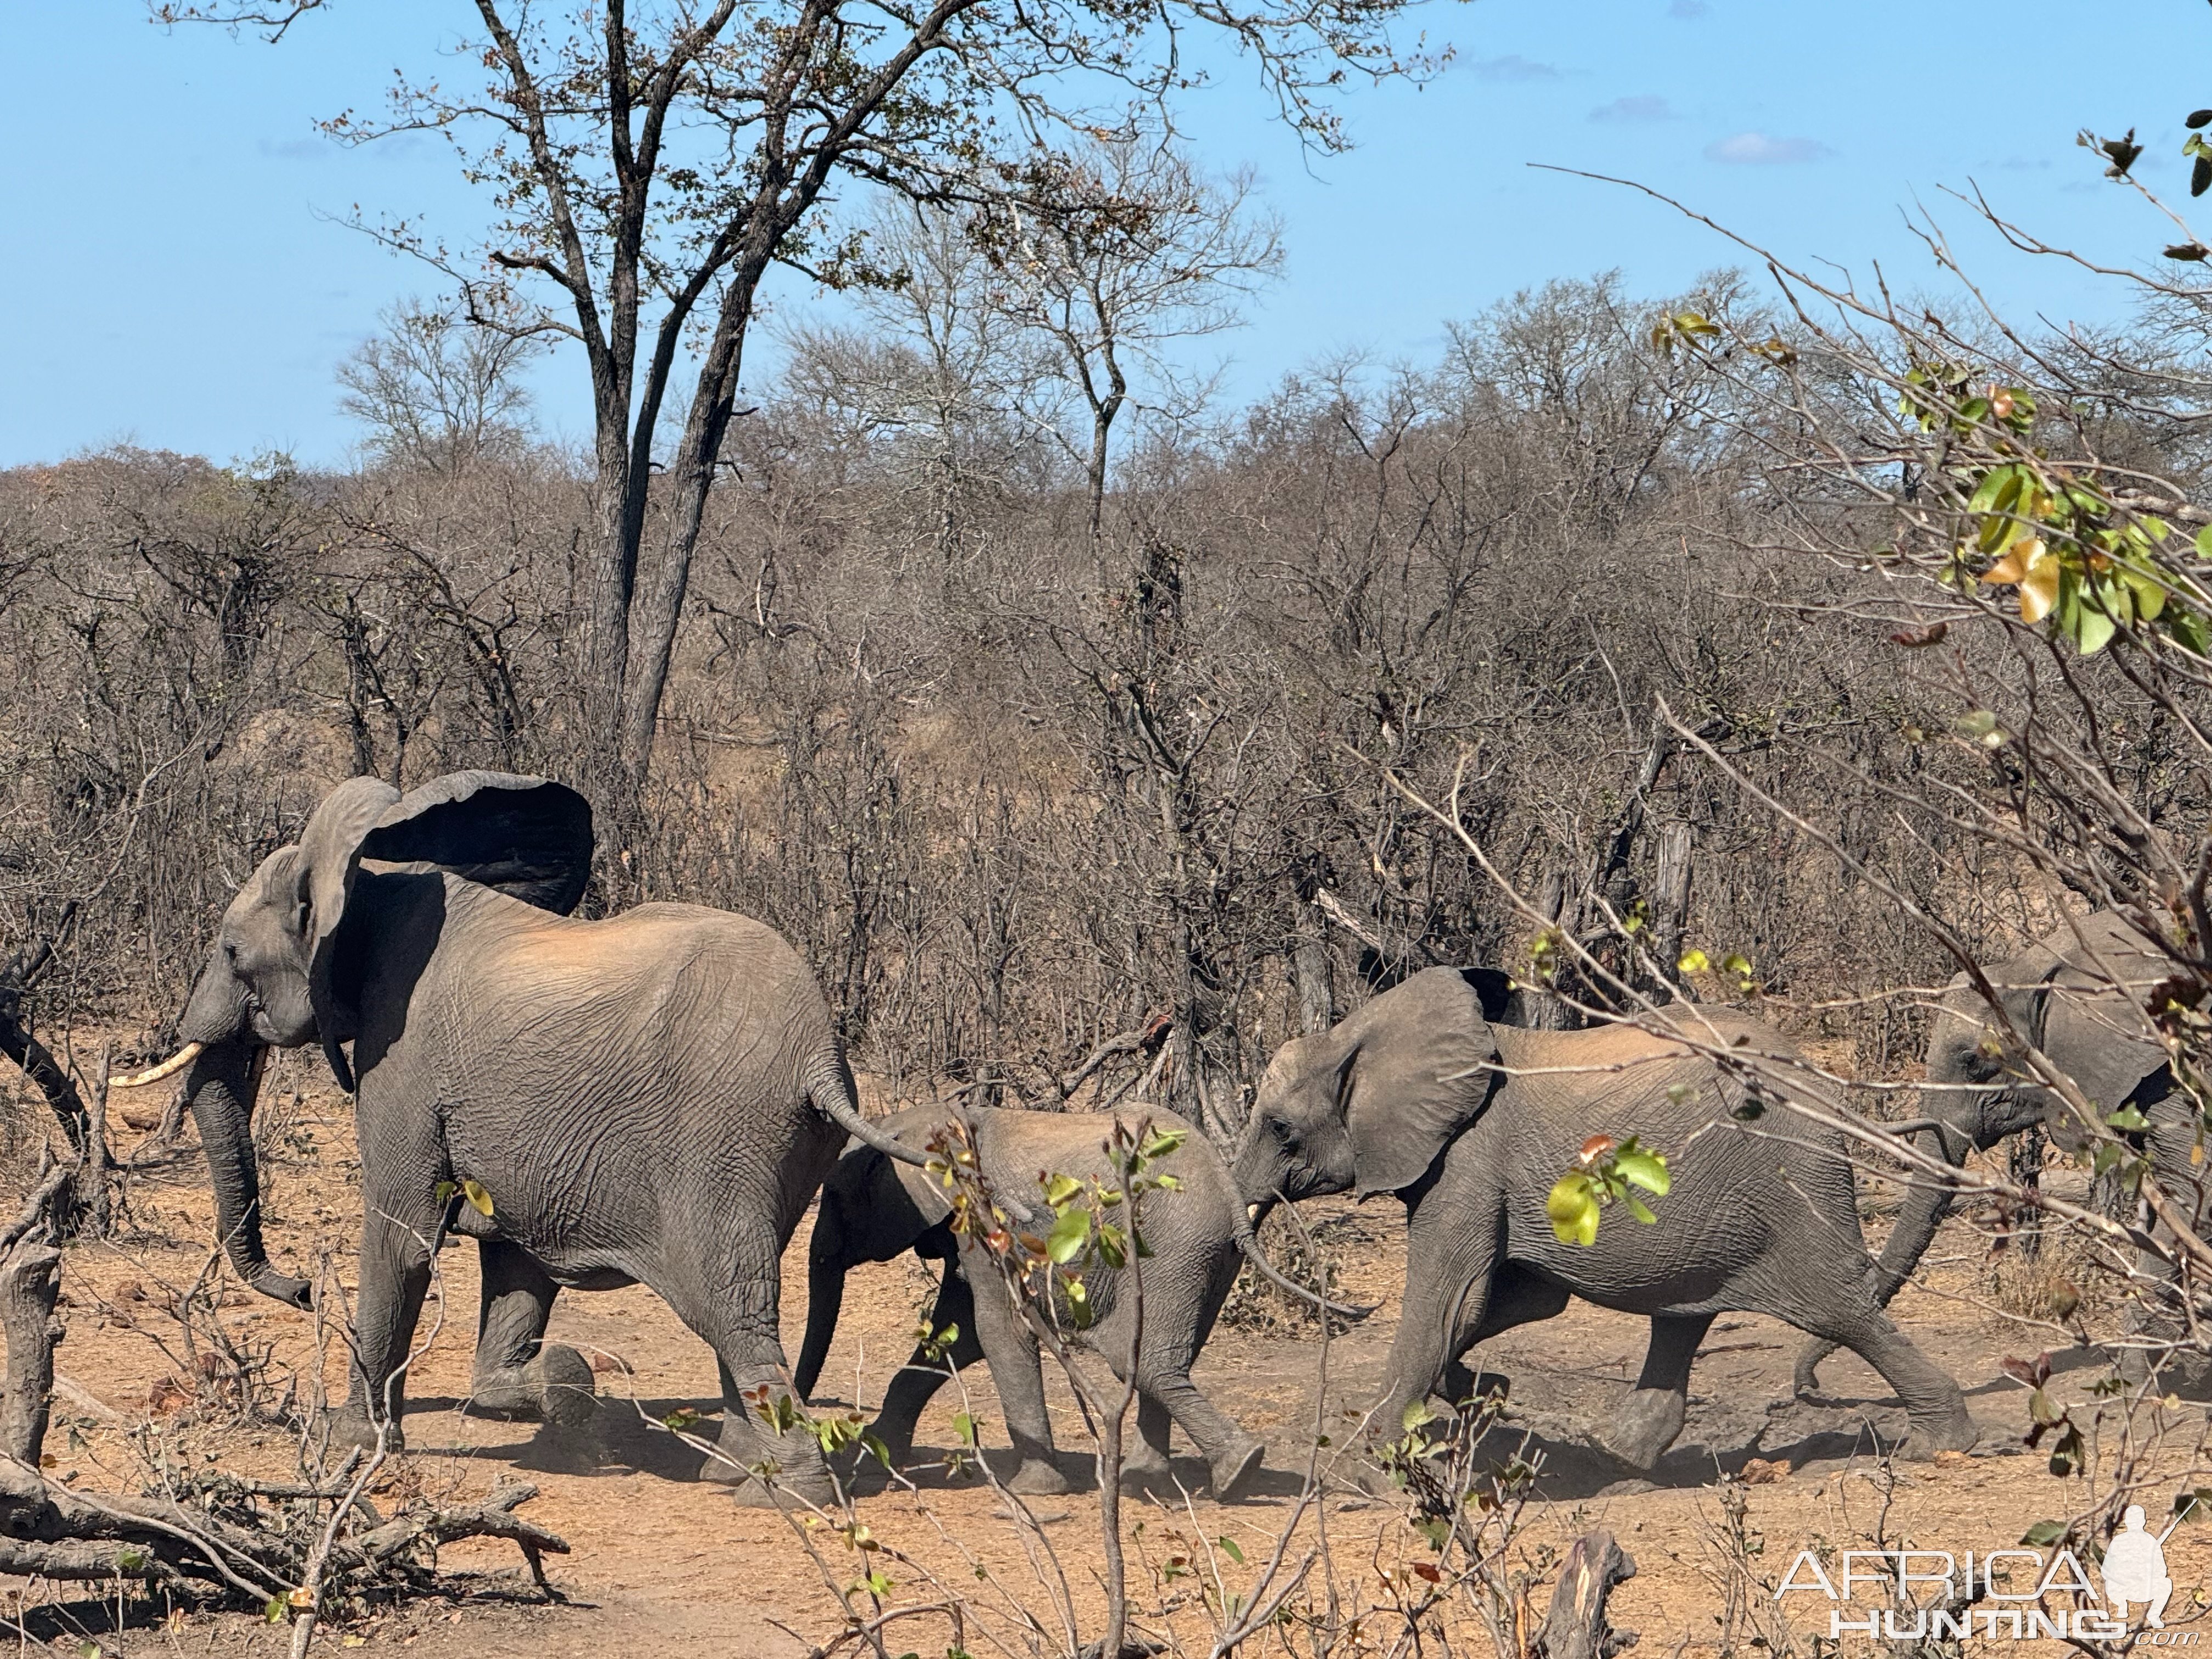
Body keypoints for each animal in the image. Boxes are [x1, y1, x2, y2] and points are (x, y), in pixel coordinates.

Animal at [114, 765, 916, 1504]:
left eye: (229, 952)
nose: (305, 1289)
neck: (370, 880)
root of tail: (821, 1059)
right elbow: (514, 1263)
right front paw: (558, 1389)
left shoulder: (404, 1060)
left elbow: (401, 1236)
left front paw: (355, 1442)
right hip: (780, 1150)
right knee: (739, 1305)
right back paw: (733, 1473)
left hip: (722, 1141)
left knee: (731, 1306)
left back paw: (785, 1495)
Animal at [1238, 973, 1982, 1469]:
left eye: (1280, 1129)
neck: (1360, 1034)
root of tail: (1828, 1092)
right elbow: (1514, 1300)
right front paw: (1486, 1394)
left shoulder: (1468, 1160)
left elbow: (1451, 1300)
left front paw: (1371, 1462)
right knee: (1685, 1314)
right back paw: (1620, 1455)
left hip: (1784, 1180)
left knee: (1836, 1308)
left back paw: (1944, 1443)